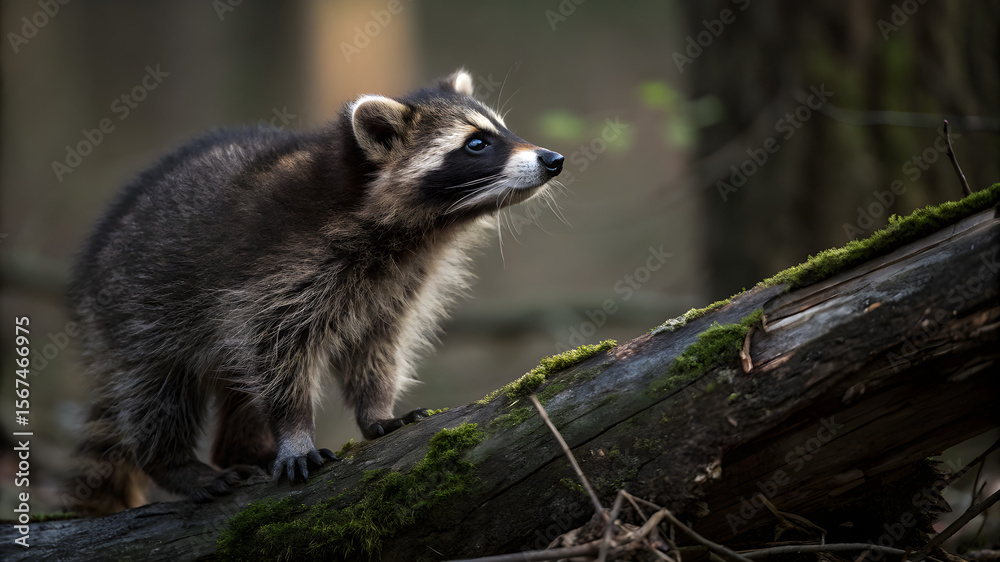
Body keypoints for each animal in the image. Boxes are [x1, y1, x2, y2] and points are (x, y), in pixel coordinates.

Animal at [69, 69, 563, 514]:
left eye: (503, 129)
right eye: (477, 143)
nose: (553, 159)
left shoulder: (396, 284)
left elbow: (377, 345)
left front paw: (377, 410)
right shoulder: (278, 273)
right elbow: (278, 354)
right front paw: (294, 432)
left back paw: (243, 450)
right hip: (136, 312)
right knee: (158, 390)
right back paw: (173, 463)